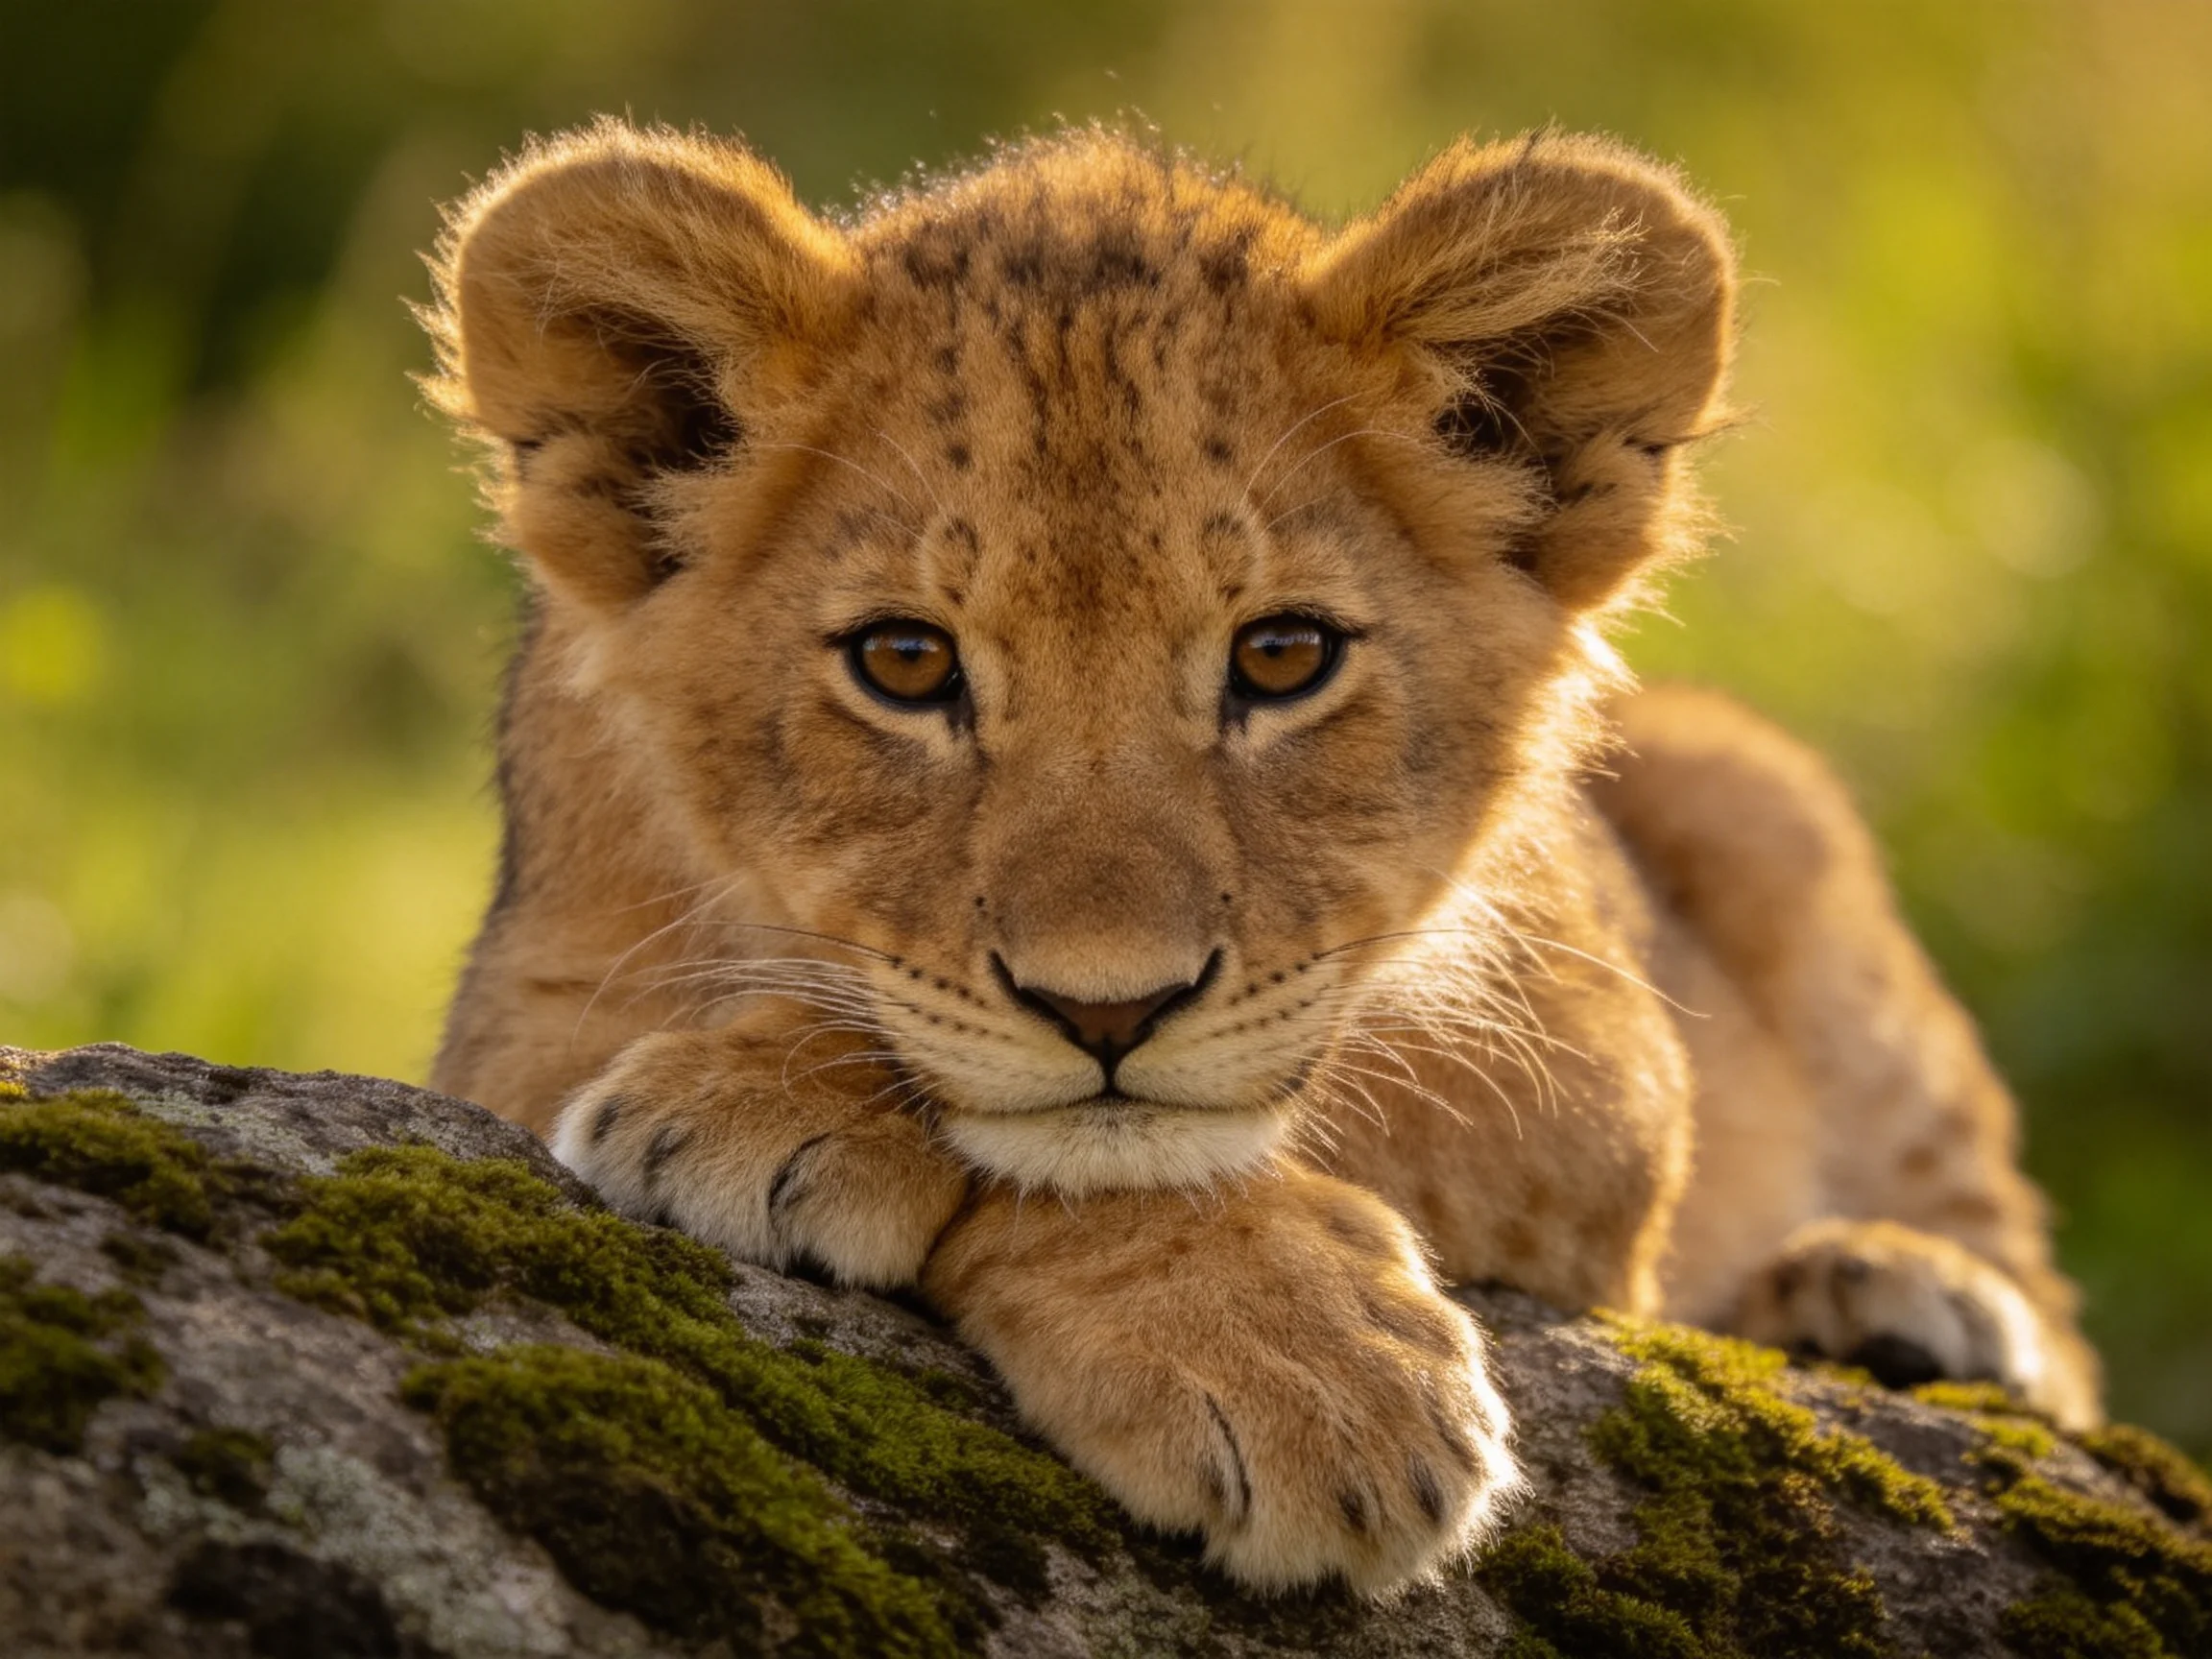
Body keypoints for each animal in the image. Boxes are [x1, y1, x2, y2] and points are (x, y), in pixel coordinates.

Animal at [419, 119, 2101, 1594]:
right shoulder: (516, 1014)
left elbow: (1221, 1121)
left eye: (1283, 657)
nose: (1106, 1011)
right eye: (904, 663)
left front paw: (1291, 1370)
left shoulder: (1597, 1062)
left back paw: (1897, 1294)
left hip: (1770, 800)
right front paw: (773, 1099)